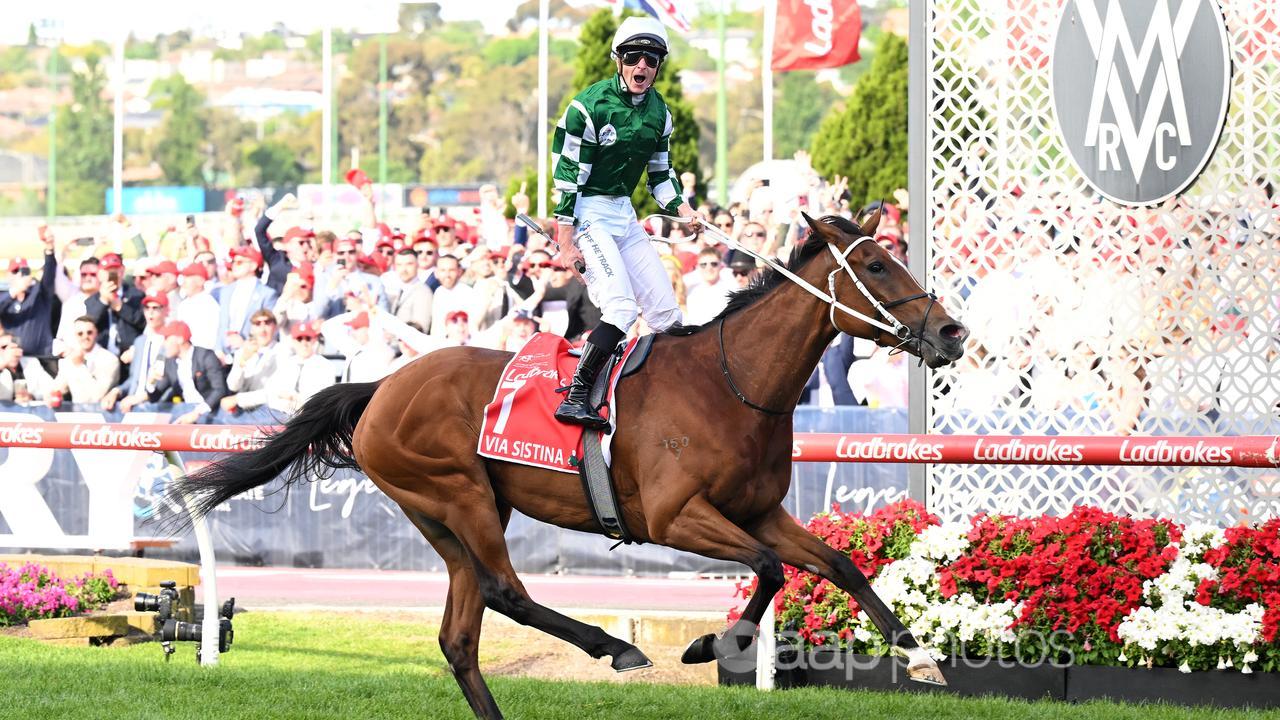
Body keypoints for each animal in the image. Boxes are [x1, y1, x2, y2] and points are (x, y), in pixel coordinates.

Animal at [170, 210, 967, 712]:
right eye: (875, 264)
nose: (952, 332)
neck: (730, 384)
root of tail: (381, 386)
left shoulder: (760, 511)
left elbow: (839, 564)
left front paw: (921, 655)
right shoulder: (677, 517)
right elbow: (770, 571)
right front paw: (712, 644)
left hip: (446, 515)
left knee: (461, 635)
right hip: (457, 494)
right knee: (506, 592)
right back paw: (612, 646)